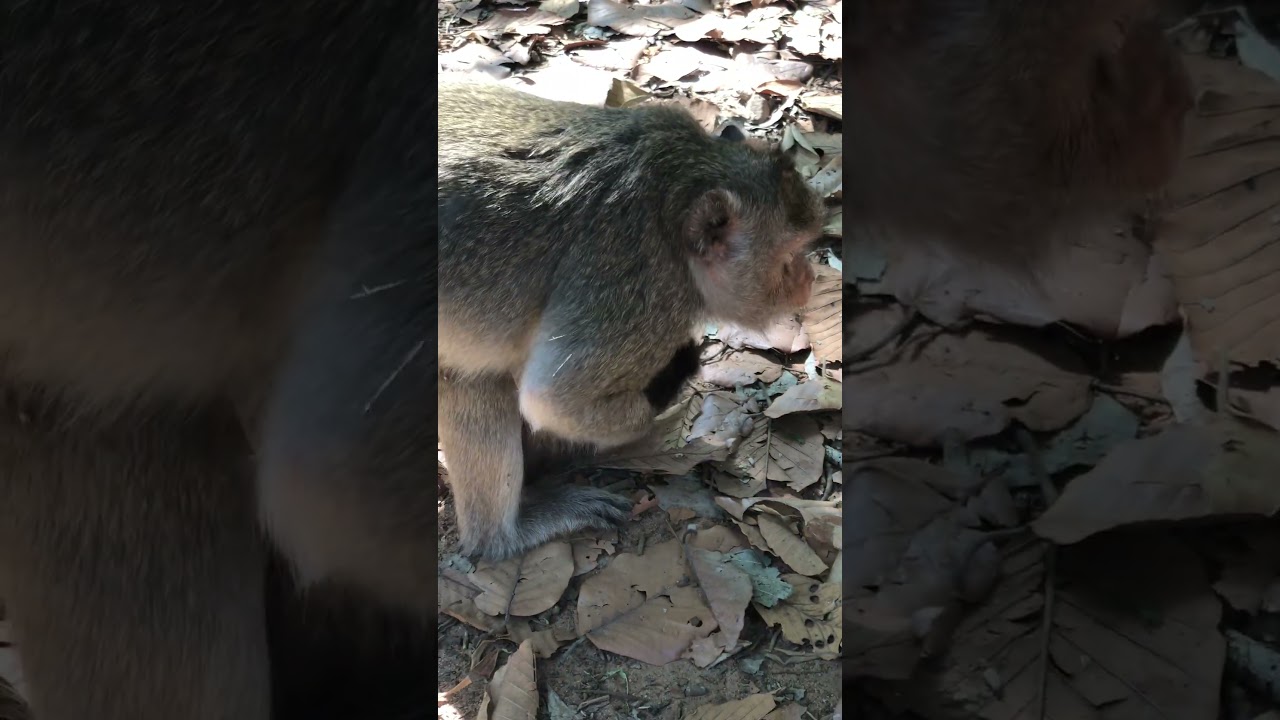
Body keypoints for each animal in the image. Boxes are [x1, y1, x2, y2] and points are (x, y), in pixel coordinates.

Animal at [438, 80, 824, 562]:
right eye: (789, 258)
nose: (809, 276)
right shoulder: (645, 292)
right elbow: (553, 400)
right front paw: (656, 433)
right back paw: (501, 537)